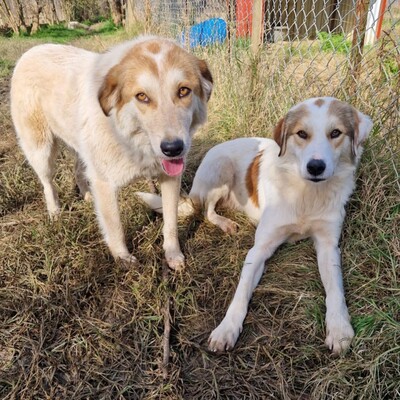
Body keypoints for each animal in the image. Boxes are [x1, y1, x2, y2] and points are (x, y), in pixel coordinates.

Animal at [10, 36, 214, 268]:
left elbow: (171, 220)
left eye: (183, 91)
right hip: (41, 151)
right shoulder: (105, 183)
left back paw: (87, 195)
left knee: (78, 170)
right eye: (142, 96)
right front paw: (123, 259)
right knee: (47, 183)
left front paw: (173, 255)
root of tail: (32, 50)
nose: (173, 149)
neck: (131, 138)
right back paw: (55, 213)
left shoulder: (170, 178)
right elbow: (115, 226)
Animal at [139, 97, 374, 354]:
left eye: (336, 133)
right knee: (208, 211)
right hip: (221, 170)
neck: (306, 194)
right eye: (302, 133)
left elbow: (335, 291)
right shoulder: (259, 249)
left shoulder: (328, 246)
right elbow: (241, 293)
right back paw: (225, 223)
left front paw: (339, 327)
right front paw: (226, 329)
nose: (316, 167)